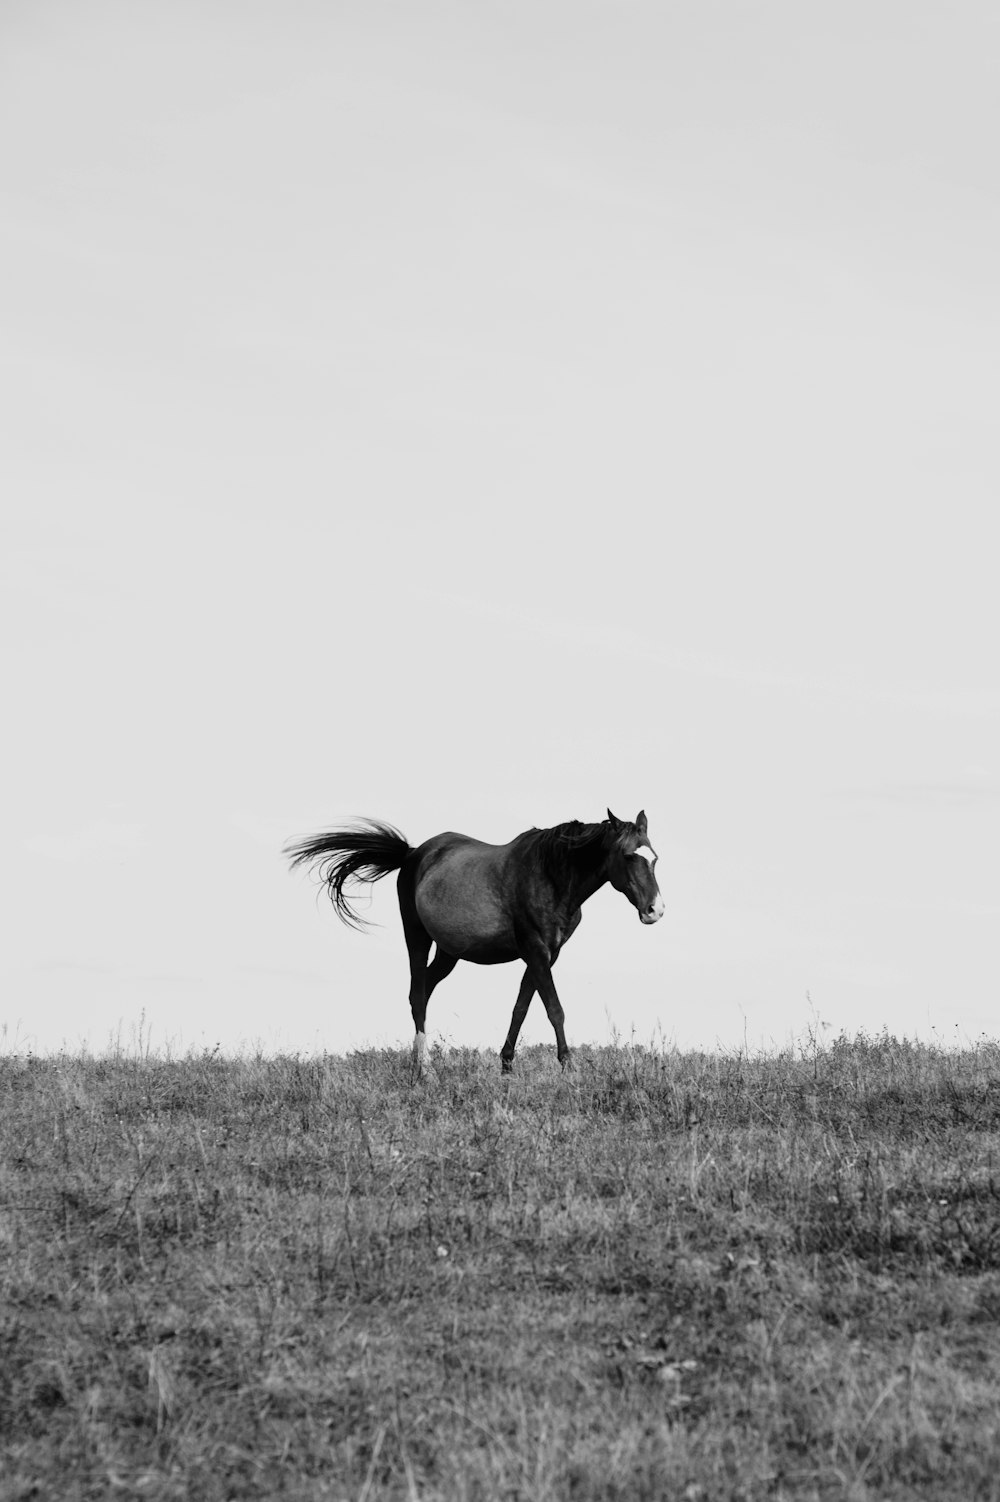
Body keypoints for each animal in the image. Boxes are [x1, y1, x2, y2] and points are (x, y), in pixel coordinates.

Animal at [283, 805, 660, 1075]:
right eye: (628, 856)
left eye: (654, 857)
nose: (655, 910)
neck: (550, 875)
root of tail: (413, 854)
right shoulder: (536, 950)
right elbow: (554, 1009)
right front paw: (569, 1068)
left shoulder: (545, 954)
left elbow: (521, 1007)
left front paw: (506, 1066)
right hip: (416, 937)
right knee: (417, 993)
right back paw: (425, 1071)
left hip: (448, 953)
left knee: (422, 991)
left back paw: (415, 1064)